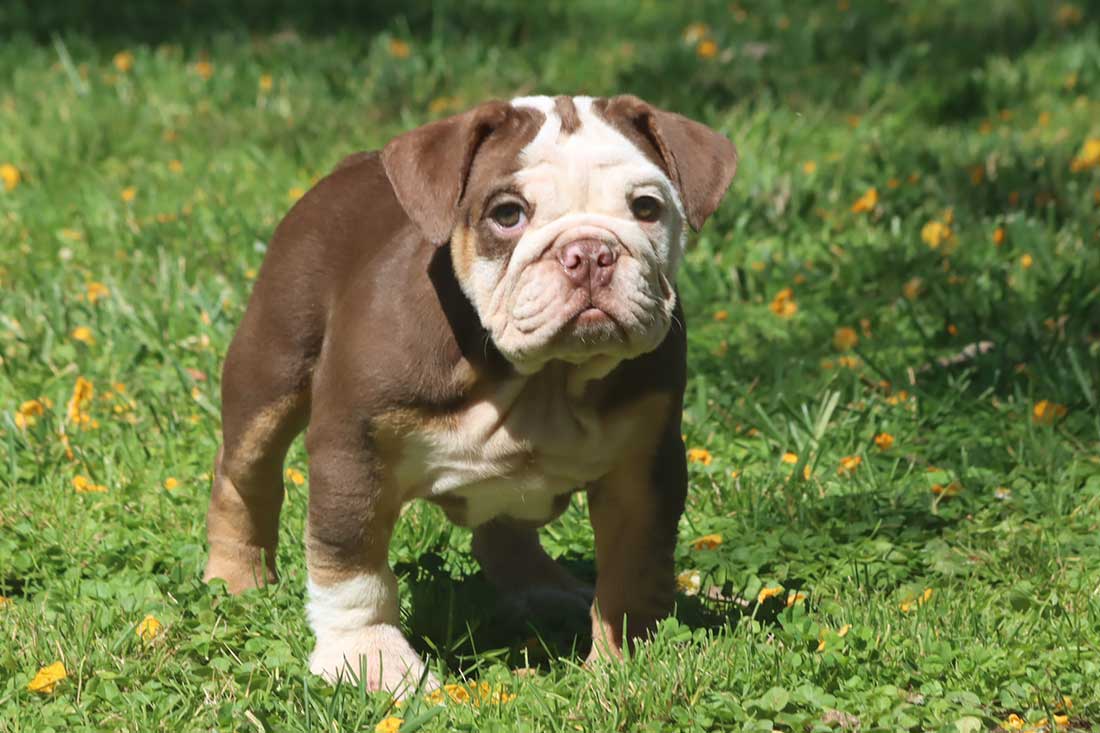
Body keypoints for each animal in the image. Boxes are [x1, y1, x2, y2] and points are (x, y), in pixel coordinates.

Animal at [206, 94, 739, 695]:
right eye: (507, 215)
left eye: (647, 208)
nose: (589, 252)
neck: (541, 377)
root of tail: (351, 165)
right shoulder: (353, 448)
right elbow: (351, 561)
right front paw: (369, 658)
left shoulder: (644, 468)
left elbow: (633, 565)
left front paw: (622, 664)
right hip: (271, 366)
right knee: (244, 474)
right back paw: (236, 579)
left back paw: (545, 589)